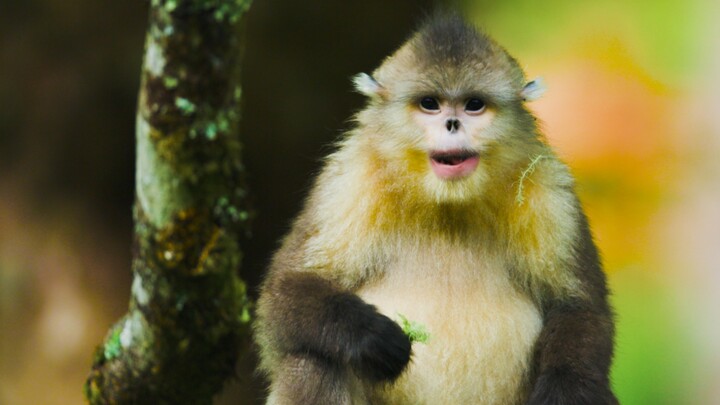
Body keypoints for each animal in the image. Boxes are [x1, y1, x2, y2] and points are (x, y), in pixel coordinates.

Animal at [253, 14, 617, 405]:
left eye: (473, 105)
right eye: (430, 103)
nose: (452, 124)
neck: (449, 203)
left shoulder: (550, 187)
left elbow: (579, 307)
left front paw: (564, 387)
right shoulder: (350, 178)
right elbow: (281, 295)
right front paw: (368, 335)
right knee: (313, 359)